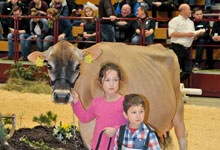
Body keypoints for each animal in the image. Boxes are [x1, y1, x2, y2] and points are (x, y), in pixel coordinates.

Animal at [27, 40, 187, 150]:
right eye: (49, 65)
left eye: (78, 66)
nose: (61, 96)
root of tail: (163, 48)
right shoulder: (87, 130)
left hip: (178, 109)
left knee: (182, 137)